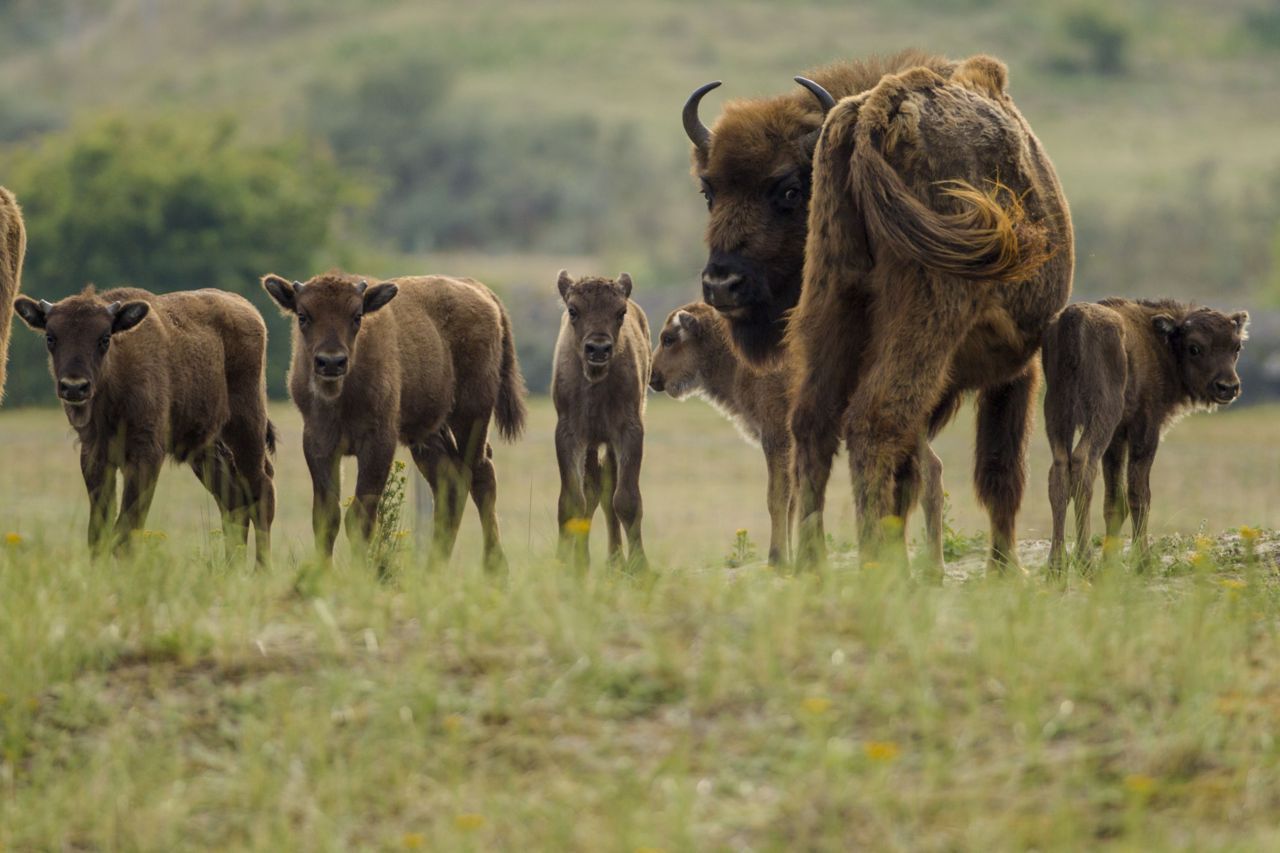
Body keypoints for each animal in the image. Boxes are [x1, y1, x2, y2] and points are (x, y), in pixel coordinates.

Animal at [13, 286, 275, 563]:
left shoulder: (145, 455)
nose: (74, 386)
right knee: (233, 502)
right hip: (204, 448)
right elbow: (99, 533)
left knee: (262, 491)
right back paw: (231, 566)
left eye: (104, 338)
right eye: (51, 337)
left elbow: (125, 532)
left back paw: (261, 568)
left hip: (247, 430)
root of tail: (247, 308)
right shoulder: (95, 456)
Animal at [262, 268, 527, 568]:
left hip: (472, 417)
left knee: (481, 476)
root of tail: (479, 290)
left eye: (357, 316)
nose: (331, 362)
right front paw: (321, 571)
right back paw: (433, 567)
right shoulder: (318, 442)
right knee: (451, 485)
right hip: (429, 433)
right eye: (303, 315)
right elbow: (326, 516)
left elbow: (360, 517)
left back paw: (494, 567)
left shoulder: (379, 442)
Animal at [552, 268, 650, 568]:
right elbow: (572, 501)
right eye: (573, 310)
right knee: (593, 491)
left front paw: (639, 566)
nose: (598, 348)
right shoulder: (570, 434)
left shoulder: (628, 432)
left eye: (620, 312)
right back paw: (583, 562)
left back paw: (615, 562)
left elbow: (626, 500)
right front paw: (563, 563)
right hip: (593, 444)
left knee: (607, 493)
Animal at [686, 51, 1075, 571]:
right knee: (873, 423)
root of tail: (873, 117)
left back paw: (815, 564)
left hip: (829, 310)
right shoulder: (1018, 368)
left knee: (814, 423)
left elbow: (917, 473)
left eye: (788, 190)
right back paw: (875, 564)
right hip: (924, 321)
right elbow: (999, 471)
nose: (721, 283)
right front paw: (1004, 570)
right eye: (710, 191)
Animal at [1044, 295, 1244, 568]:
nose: (1228, 387)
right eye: (1194, 347)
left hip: (1057, 413)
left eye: (1236, 347)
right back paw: (1085, 562)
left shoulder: (1118, 438)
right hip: (1101, 414)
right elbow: (1139, 494)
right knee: (1083, 464)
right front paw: (1143, 563)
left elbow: (1115, 501)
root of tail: (1073, 318)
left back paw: (1056, 566)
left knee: (1059, 471)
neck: (1161, 345)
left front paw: (1110, 563)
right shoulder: (1146, 428)